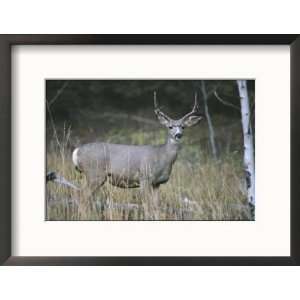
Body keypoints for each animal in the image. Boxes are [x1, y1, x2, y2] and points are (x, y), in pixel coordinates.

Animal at [48, 91, 203, 218]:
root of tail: (77, 151)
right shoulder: (144, 178)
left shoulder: (157, 184)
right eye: (170, 127)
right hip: (94, 173)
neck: (162, 158)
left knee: (82, 196)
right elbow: (147, 208)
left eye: (183, 127)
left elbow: (156, 208)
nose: (178, 135)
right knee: (80, 196)